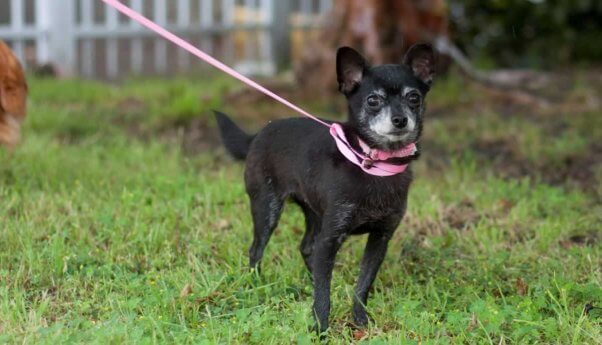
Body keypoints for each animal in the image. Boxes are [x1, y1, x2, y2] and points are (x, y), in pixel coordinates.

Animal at [213, 44, 434, 332]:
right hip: (267, 209)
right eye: (373, 100)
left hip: (315, 213)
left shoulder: (380, 238)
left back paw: (309, 280)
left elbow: (362, 286)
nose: (400, 119)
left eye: (414, 98)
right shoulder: (331, 238)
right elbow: (323, 296)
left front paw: (360, 321)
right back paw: (257, 285)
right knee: (257, 249)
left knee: (307, 248)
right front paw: (320, 329)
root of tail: (258, 134)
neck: (374, 164)